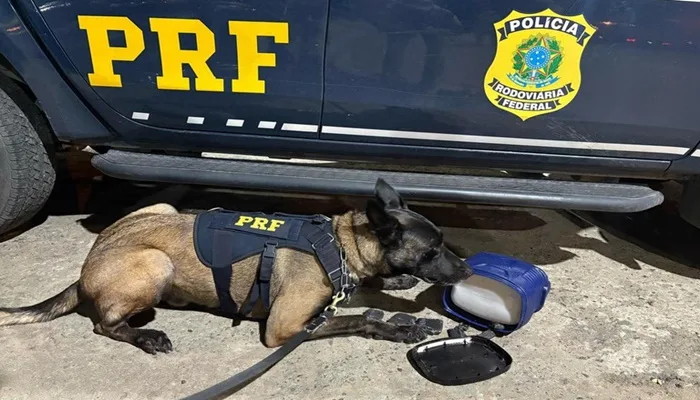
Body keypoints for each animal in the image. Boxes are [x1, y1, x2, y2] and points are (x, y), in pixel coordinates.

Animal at [0, 178, 474, 354]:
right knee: (104, 324)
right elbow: (359, 318)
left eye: (442, 245)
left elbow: (367, 289)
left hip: (163, 208)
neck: (340, 244)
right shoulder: (285, 327)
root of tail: (86, 266)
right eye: (432, 252)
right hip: (155, 262)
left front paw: (395, 281)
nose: (468, 272)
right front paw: (396, 327)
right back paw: (145, 335)